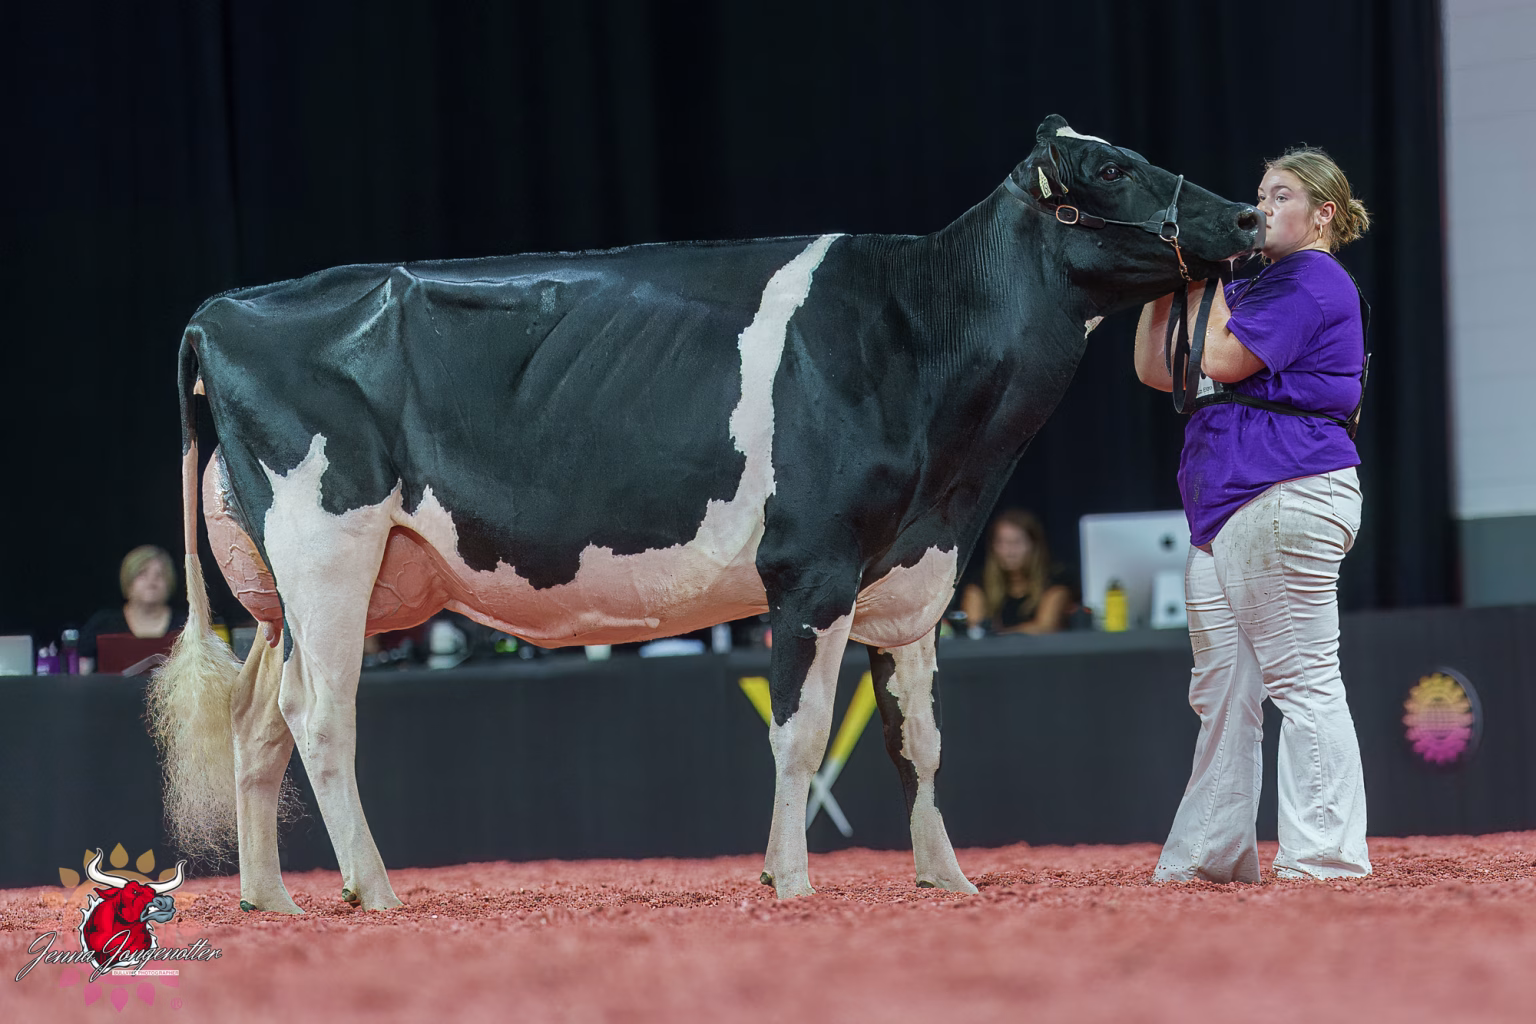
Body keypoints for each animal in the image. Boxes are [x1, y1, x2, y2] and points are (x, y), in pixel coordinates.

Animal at [148, 114, 1262, 910]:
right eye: (1108, 170)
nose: (1249, 219)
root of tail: (226, 309)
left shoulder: (912, 576)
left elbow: (919, 744)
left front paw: (947, 879)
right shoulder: (812, 572)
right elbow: (800, 735)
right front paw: (791, 880)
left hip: (290, 593)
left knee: (255, 720)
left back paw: (271, 901)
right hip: (327, 549)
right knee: (319, 715)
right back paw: (370, 890)